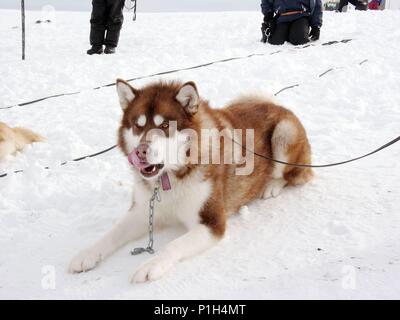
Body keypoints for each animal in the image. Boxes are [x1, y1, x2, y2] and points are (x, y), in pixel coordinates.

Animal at [68, 79, 312, 282]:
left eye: (165, 126)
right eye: (138, 125)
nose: (141, 152)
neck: (169, 179)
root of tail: (277, 105)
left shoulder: (212, 223)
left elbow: (173, 245)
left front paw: (151, 265)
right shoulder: (142, 211)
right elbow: (112, 233)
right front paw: (87, 253)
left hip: (284, 133)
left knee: (294, 174)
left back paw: (271, 186)